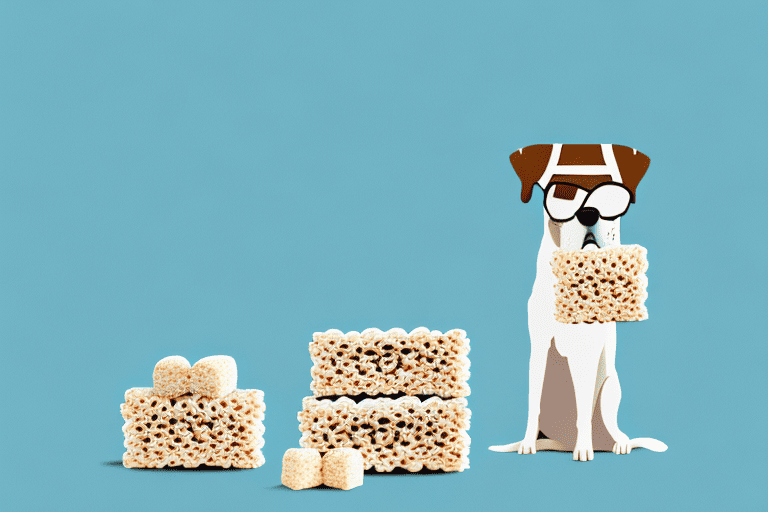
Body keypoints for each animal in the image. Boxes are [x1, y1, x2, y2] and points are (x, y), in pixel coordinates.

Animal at [492, 143, 664, 460]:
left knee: (611, 428)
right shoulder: (538, 348)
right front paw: (526, 444)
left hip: (610, 389)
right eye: (562, 192)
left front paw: (584, 450)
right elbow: (532, 404)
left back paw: (612, 444)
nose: (588, 212)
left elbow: (583, 406)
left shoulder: (586, 354)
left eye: (610, 193)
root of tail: (563, 442)